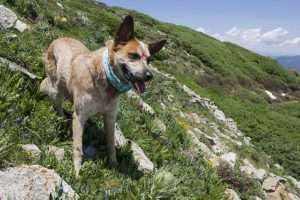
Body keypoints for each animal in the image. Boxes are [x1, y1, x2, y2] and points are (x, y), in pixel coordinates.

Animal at [39, 15, 166, 176]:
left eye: (149, 60)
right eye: (134, 55)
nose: (149, 76)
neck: (106, 79)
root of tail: (59, 38)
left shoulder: (110, 118)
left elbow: (111, 144)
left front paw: (114, 164)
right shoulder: (80, 115)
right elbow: (78, 147)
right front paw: (76, 171)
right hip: (56, 89)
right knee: (58, 105)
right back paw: (62, 118)